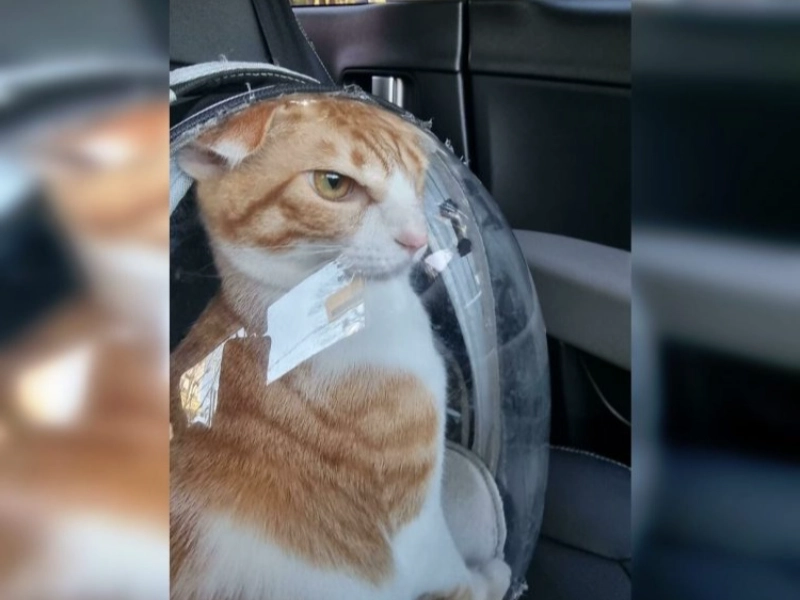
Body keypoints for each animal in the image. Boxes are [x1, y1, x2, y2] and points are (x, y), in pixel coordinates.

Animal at [170, 94, 511, 600]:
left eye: (416, 176)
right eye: (333, 184)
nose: (418, 238)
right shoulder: (415, 529)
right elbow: (455, 577)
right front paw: (491, 577)